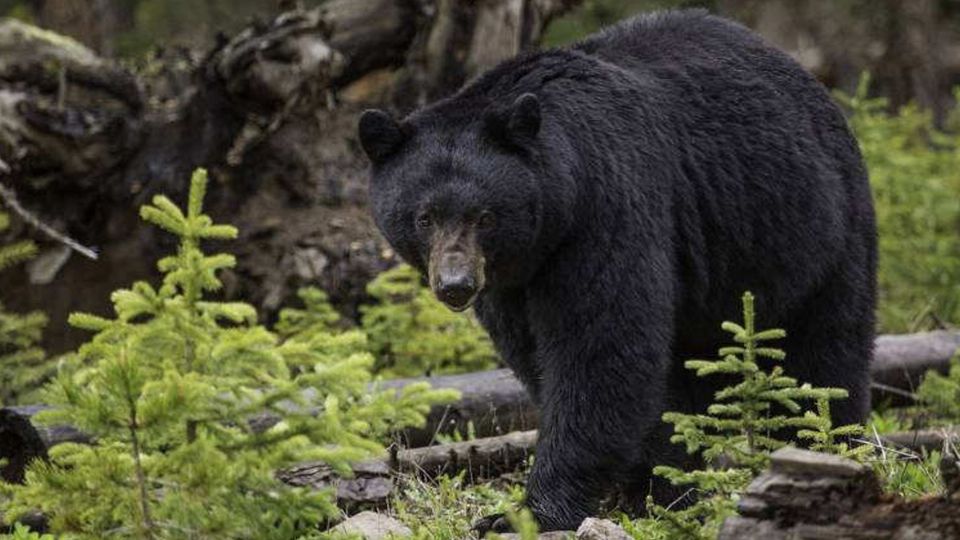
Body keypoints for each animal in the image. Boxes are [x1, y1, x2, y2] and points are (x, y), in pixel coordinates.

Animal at [356, 8, 872, 532]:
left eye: (485, 216)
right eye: (424, 216)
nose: (456, 285)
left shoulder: (606, 208)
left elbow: (600, 350)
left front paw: (529, 512)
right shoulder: (514, 281)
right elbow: (540, 355)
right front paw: (650, 485)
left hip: (815, 232)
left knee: (824, 354)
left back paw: (824, 447)